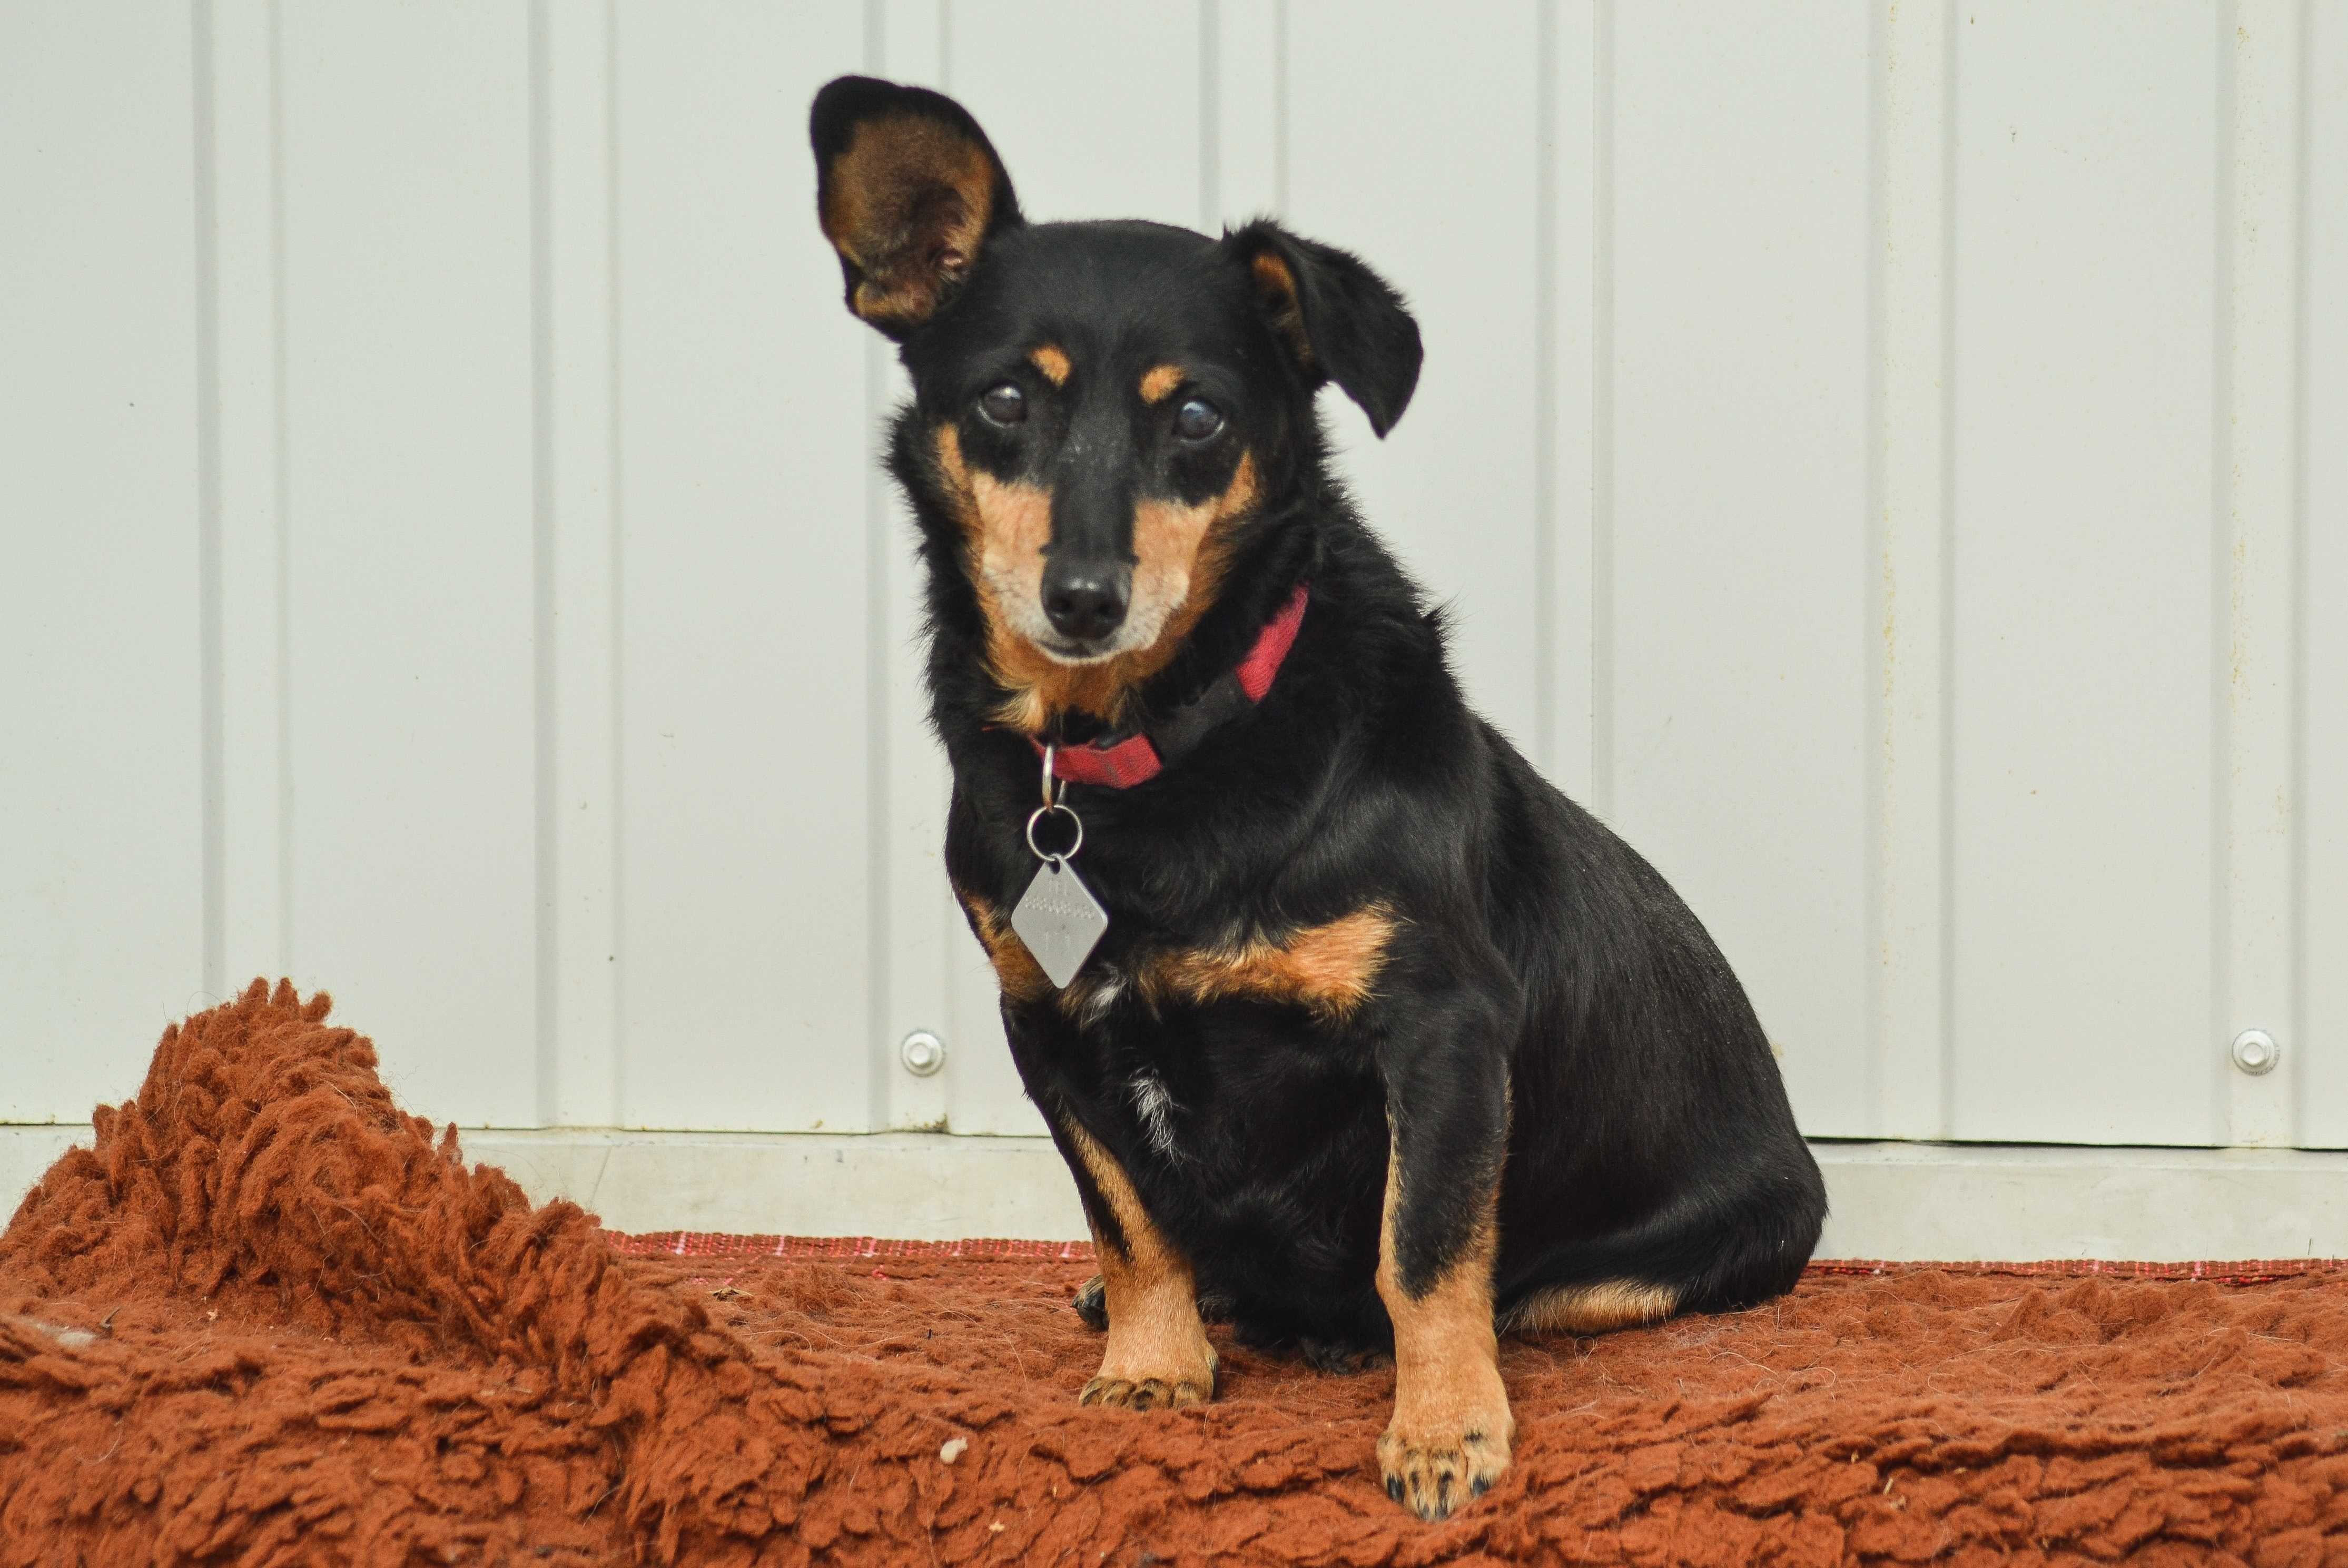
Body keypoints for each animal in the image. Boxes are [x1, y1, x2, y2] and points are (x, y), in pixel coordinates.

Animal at [817, 76, 1822, 1521]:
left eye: (1197, 418)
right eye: (1003, 400)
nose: (1083, 599)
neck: (1150, 754)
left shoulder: (1439, 1030)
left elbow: (1426, 1250)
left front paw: (1445, 1430)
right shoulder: (1045, 1024)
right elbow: (1127, 1221)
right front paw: (1153, 1368)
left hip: (1699, 1248)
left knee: (1516, 1286)